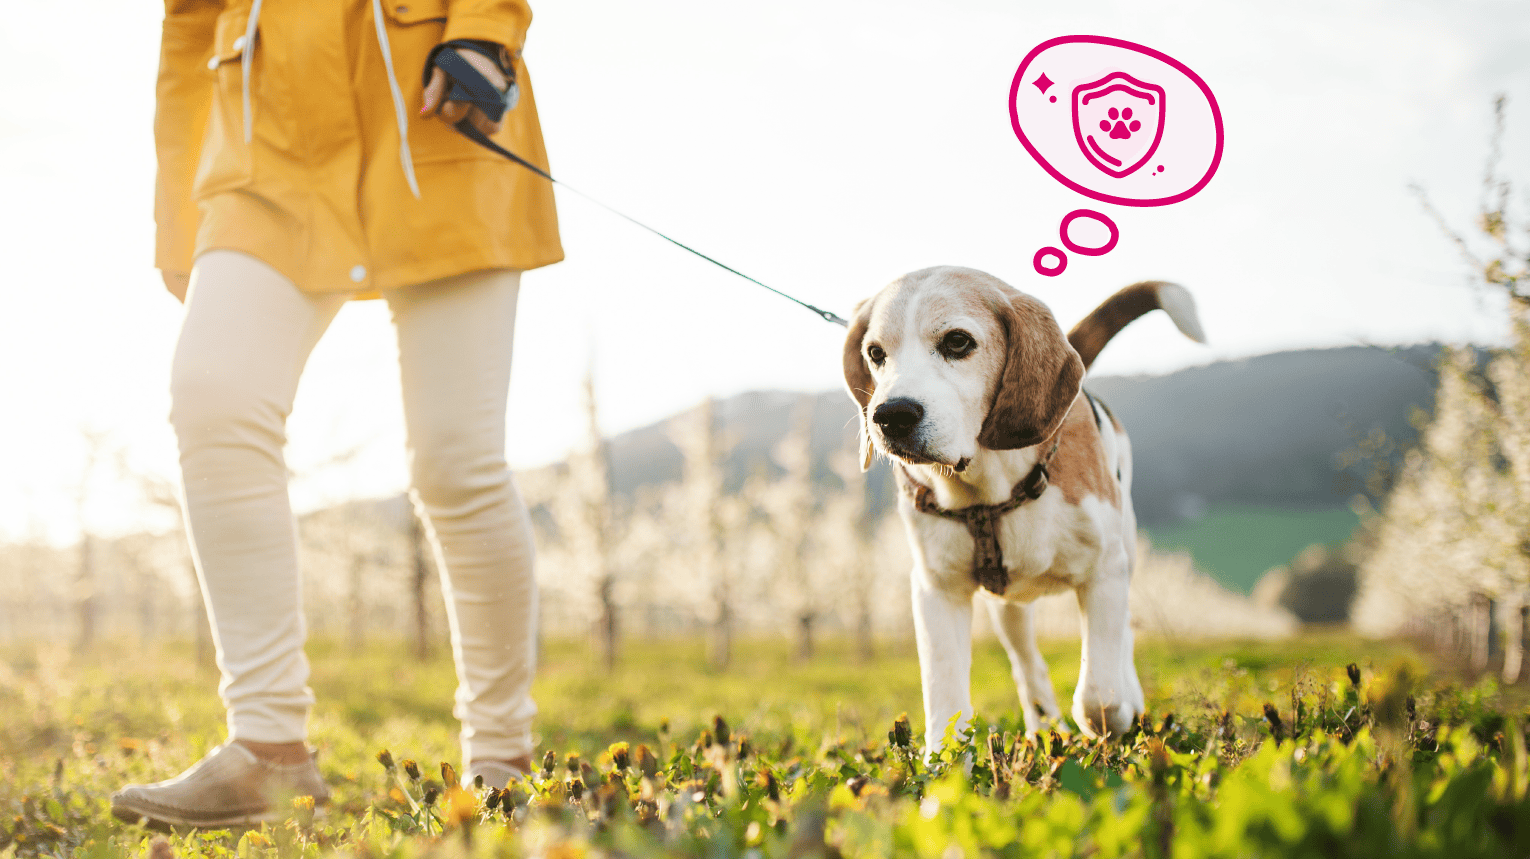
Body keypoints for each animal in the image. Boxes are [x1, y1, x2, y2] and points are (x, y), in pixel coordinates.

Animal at [838, 267, 1205, 744]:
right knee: (1027, 664)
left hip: (1125, 551)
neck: (988, 489)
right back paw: (1043, 724)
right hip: (1007, 606)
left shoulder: (1105, 572)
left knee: (1120, 638)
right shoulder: (937, 590)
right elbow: (945, 704)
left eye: (958, 341)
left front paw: (1116, 713)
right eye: (876, 353)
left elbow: (1099, 696)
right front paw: (944, 761)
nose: (890, 416)